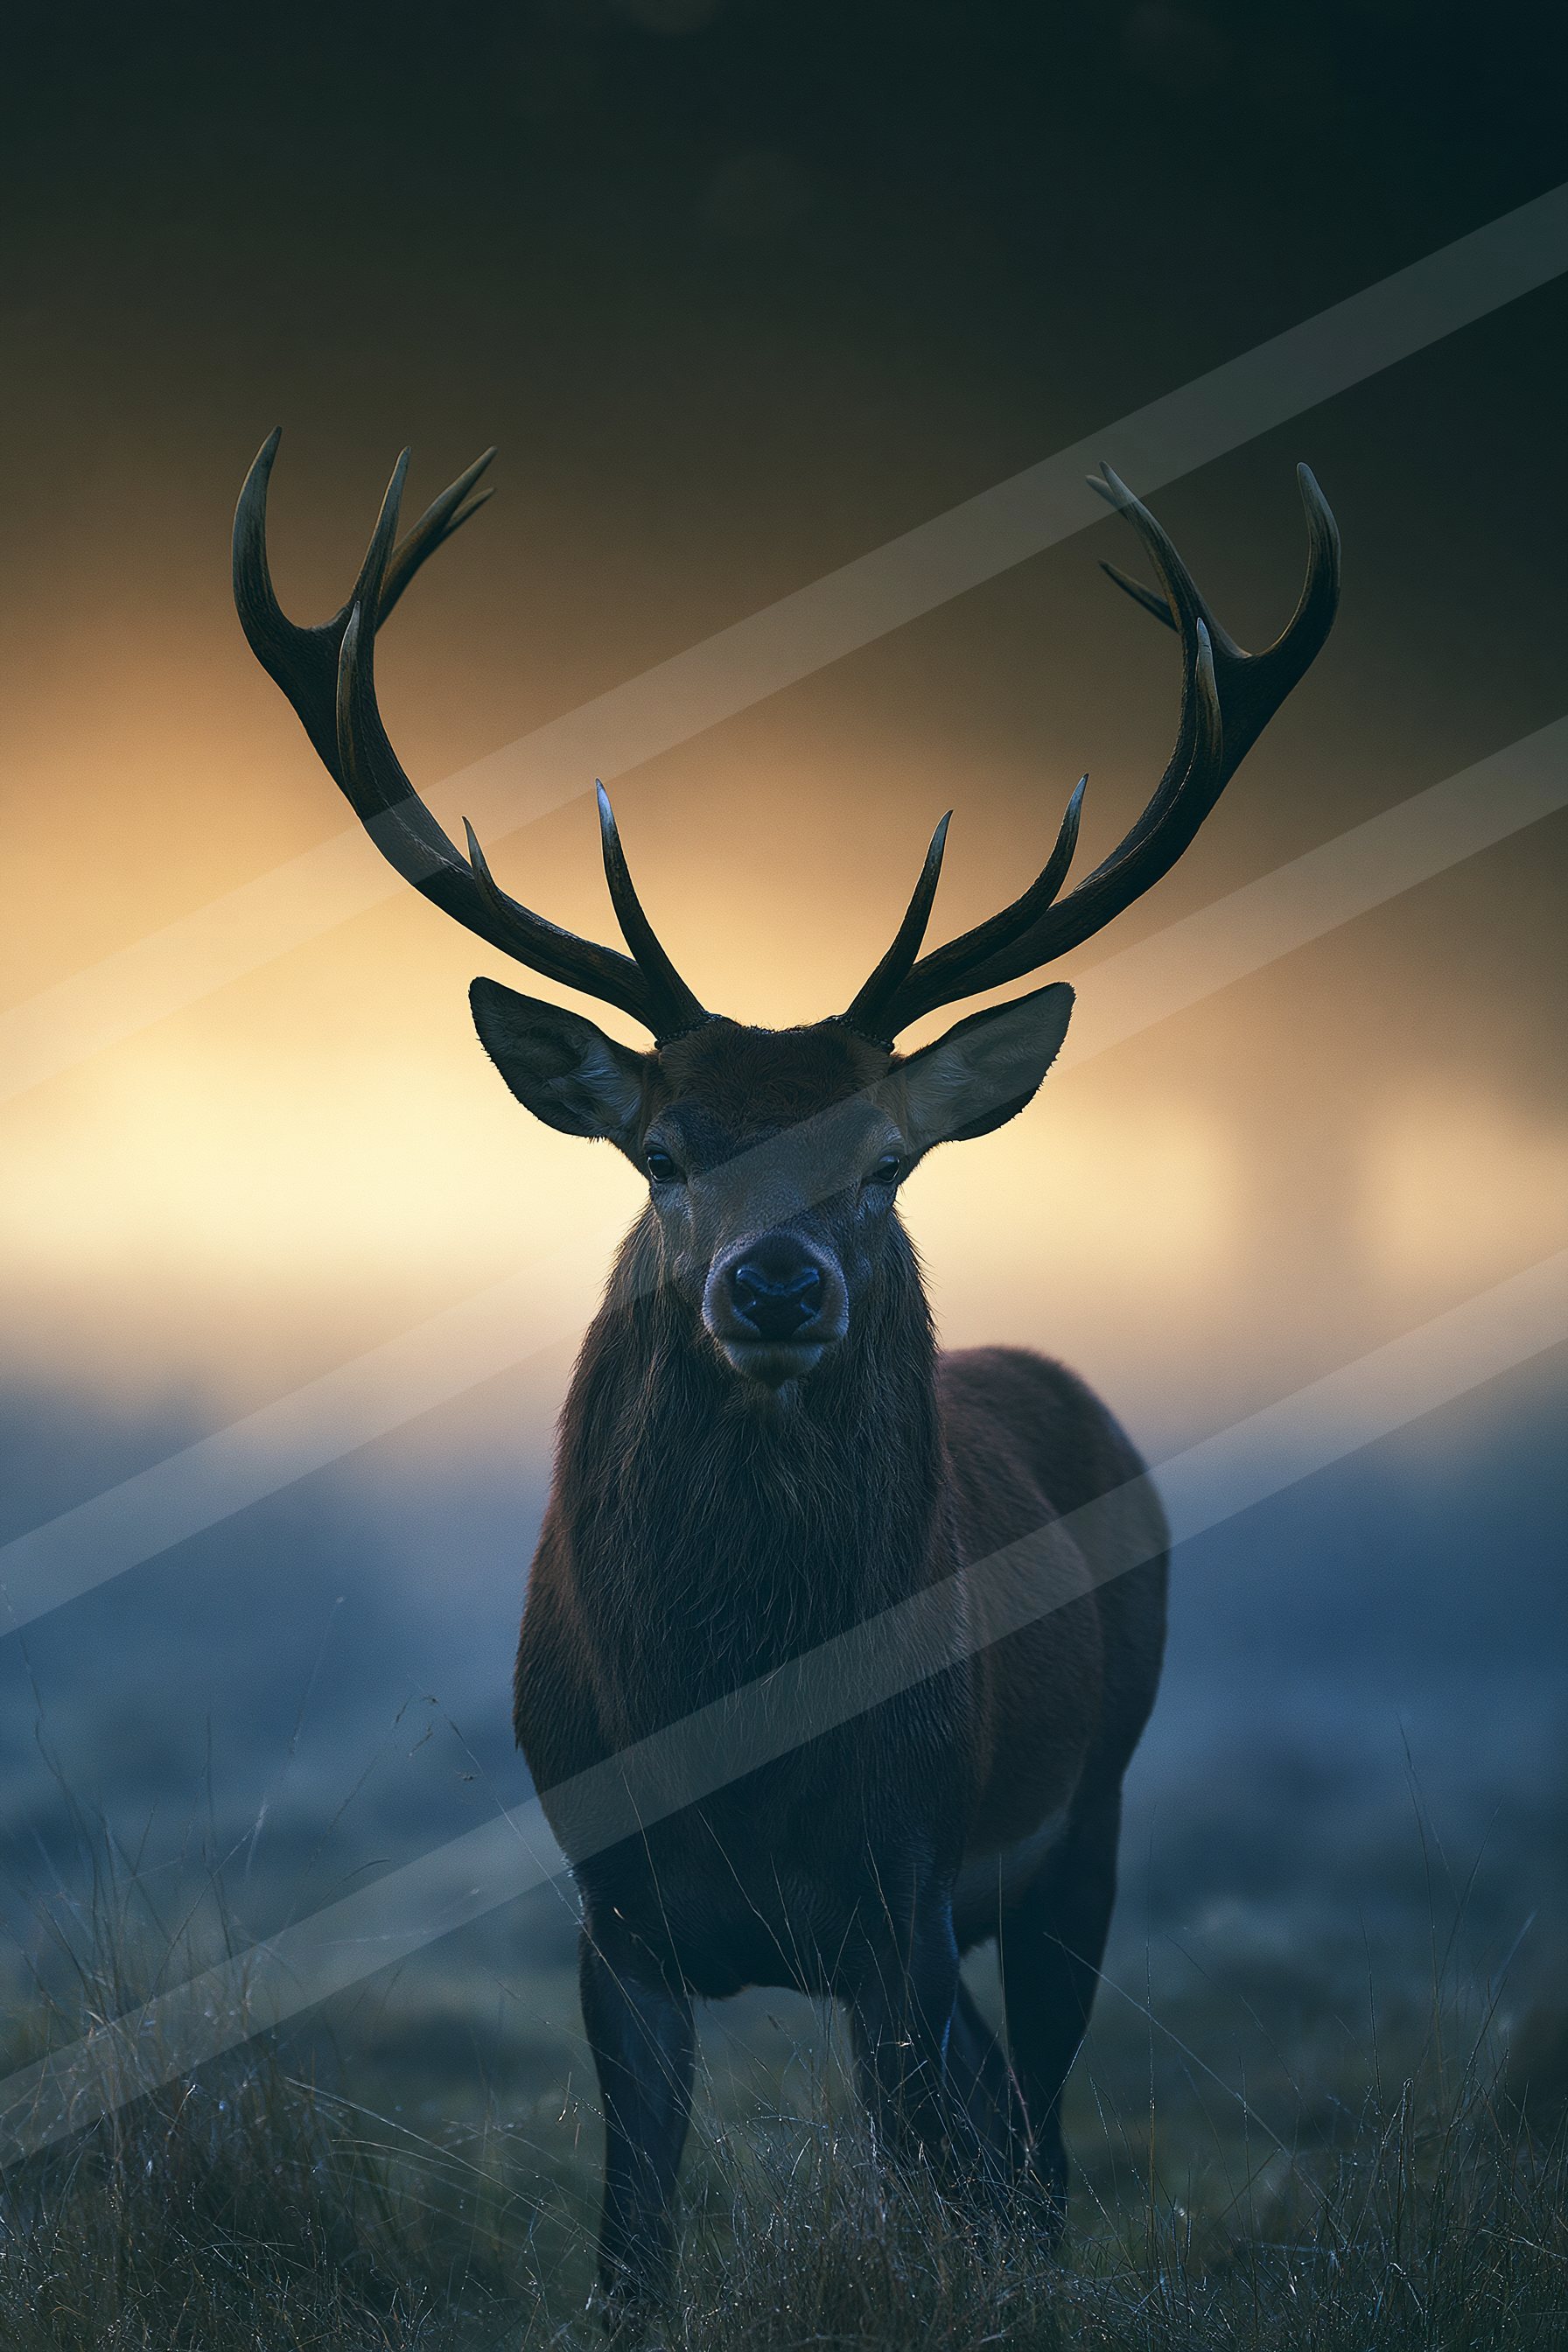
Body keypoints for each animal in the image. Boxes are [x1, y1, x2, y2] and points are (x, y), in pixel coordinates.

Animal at [234, 435, 1338, 2309]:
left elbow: (918, 2193)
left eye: (887, 1157)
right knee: (1003, 2133)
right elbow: (631, 2241)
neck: (737, 1722)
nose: (771, 1282)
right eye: (663, 1153)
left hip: (1087, 1825)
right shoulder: (607, 1902)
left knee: (1033, 2143)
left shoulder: (902, 1887)